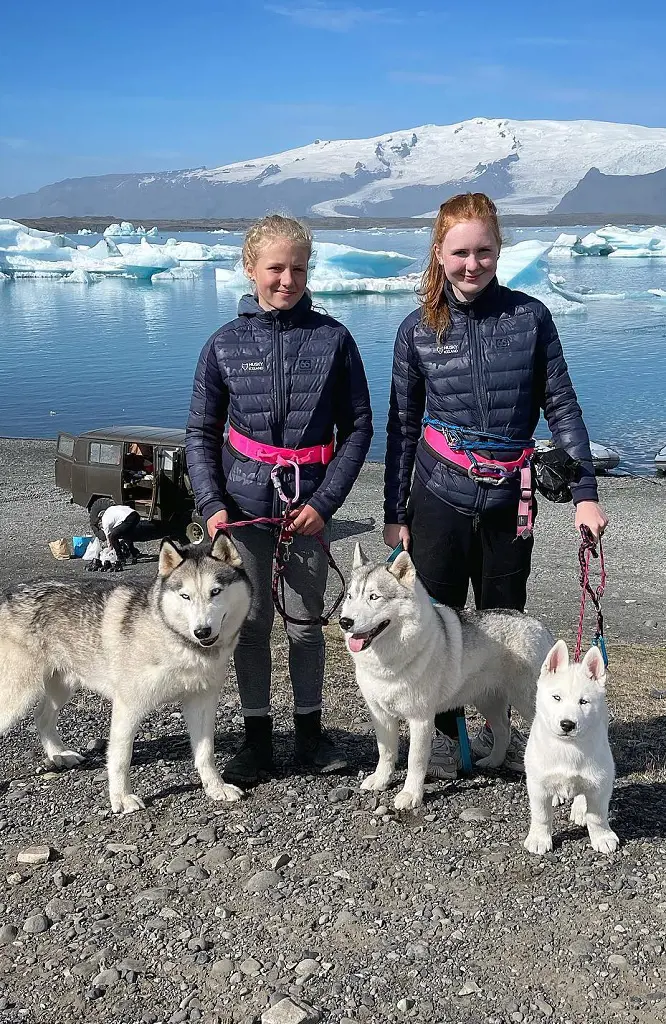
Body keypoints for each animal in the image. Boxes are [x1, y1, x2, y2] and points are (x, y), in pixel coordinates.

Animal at [524, 638, 618, 856]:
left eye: (583, 702)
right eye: (556, 697)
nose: (567, 724)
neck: (568, 747)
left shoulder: (601, 783)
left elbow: (597, 815)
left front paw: (602, 837)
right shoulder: (537, 785)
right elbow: (541, 815)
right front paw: (539, 838)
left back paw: (580, 809)